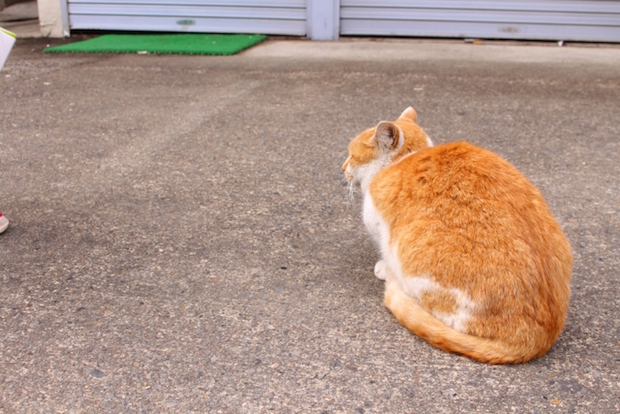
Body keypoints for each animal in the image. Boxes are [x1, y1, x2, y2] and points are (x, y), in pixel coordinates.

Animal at [344, 106, 572, 362]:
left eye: (351, 156)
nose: (343, 168)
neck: (404, 159)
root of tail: (538, 338)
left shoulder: (382, 228)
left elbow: (384, 253)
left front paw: (383, 268)